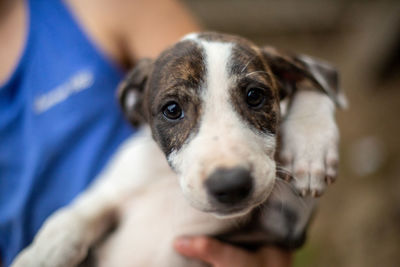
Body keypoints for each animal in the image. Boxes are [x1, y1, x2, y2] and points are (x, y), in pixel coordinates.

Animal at [11, 31, 344, 267]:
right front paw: (41, 255)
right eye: (172, 110)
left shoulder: (284, 225)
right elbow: (71, 216)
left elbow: (314, 85)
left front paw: (310, 148)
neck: (170, 184)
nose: (231, 185)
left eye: (255, 96)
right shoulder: (116, 186)